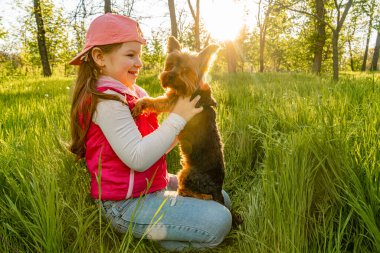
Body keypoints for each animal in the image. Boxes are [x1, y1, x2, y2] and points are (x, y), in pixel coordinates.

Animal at [132, 36, 226, 204]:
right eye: (170, 65)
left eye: (187, 70)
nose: (169, 75)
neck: (193, 88)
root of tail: (217, 190)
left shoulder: (173, 101)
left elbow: (155, 101)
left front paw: (140, 104)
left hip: (186, 173)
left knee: (198, 194)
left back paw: (186, 192)